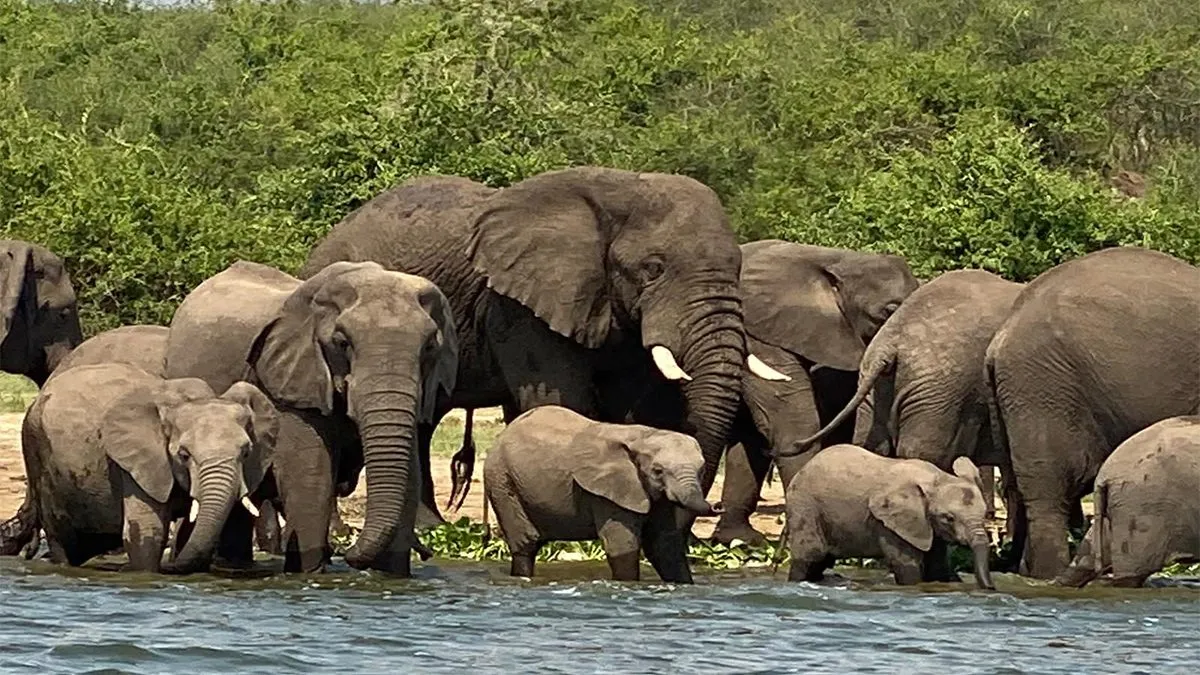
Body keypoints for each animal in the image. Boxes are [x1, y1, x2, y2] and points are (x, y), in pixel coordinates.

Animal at [14, 363, 276, 572]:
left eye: (246, 452)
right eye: (183, 455)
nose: (171, 568)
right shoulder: (134, 463)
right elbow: (149, 531)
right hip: (36, 447)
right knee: (62, 537)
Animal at [165, 260, 458, 574]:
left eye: (430, 347)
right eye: (342, 342)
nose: (349, 554)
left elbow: (410, 475)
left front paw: (390, 577)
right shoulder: (294, 380)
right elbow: (311, 472)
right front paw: (310, 574)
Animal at [301, 168, 778, 527]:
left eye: (739, 267)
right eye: (653, 268)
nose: (707, 507)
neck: (621, 188)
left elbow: (628, 408)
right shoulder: (518, 307)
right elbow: (561, 400)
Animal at [483, 406, 720, 582]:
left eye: (701, 470)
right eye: (658, 471)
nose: (717, 505)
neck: (642, 435)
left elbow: (664, 545)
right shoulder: (608, 492)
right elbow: (622, 547)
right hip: (501, 480)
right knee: (526, 544)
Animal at [782, 444, 994, 589]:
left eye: (985, 514)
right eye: (948, 518)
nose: (991, 588)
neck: (938, 478)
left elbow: (937, 566)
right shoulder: (892, 522)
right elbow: (906, 565)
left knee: (820, 562)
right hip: (804, 505)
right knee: (810, 557)